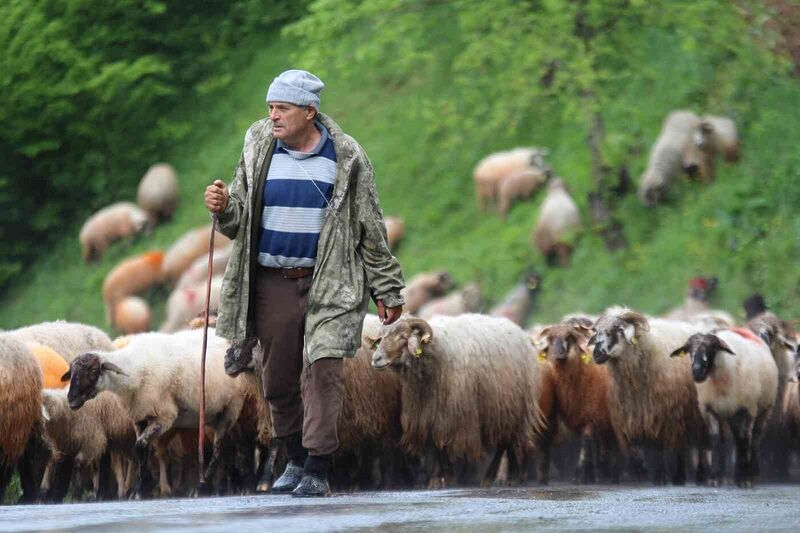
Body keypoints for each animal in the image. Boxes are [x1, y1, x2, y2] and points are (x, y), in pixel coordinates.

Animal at [62, 326, 248, 496]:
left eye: (93, 370)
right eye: (71, 373)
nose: (71, 399)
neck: (133, 372)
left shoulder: (165, 416)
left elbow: (140, 446)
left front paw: (140, 488)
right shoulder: (140, 416)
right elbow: (142, 451)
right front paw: (140, 488)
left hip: (231, 408)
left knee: (218, 449)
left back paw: (205, 486)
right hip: (213, 415)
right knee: (228, 447)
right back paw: (234, 480)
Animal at [540, 318, 620, 484]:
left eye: (569, 337)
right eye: (551, 338)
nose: (559, 354)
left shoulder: (591, 416)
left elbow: (586, 442)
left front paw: (581, 474)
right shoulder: (577, 418)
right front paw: (588, 474)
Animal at [592, 306, 708, 484]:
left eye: (618, 330)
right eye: (597, 332)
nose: (596, 354)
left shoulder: (663, 416)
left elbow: (659, 449)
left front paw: (660, 477)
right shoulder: (630, 418)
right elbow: (637, 451)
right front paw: (640, 473)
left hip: (691, 416)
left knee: (695, 446)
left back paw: (691, 475)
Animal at [664, 326, 780, 484]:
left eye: (711, 348)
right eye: (689, 350)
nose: (697, 372)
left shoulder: (748, 408)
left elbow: (746, 439)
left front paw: (745, 478)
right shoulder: (710, 410)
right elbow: (716, 439)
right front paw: (714, 477)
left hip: (765, 408)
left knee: (754, 438)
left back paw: (752, 473)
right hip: (731, 413)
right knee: (737, 438)